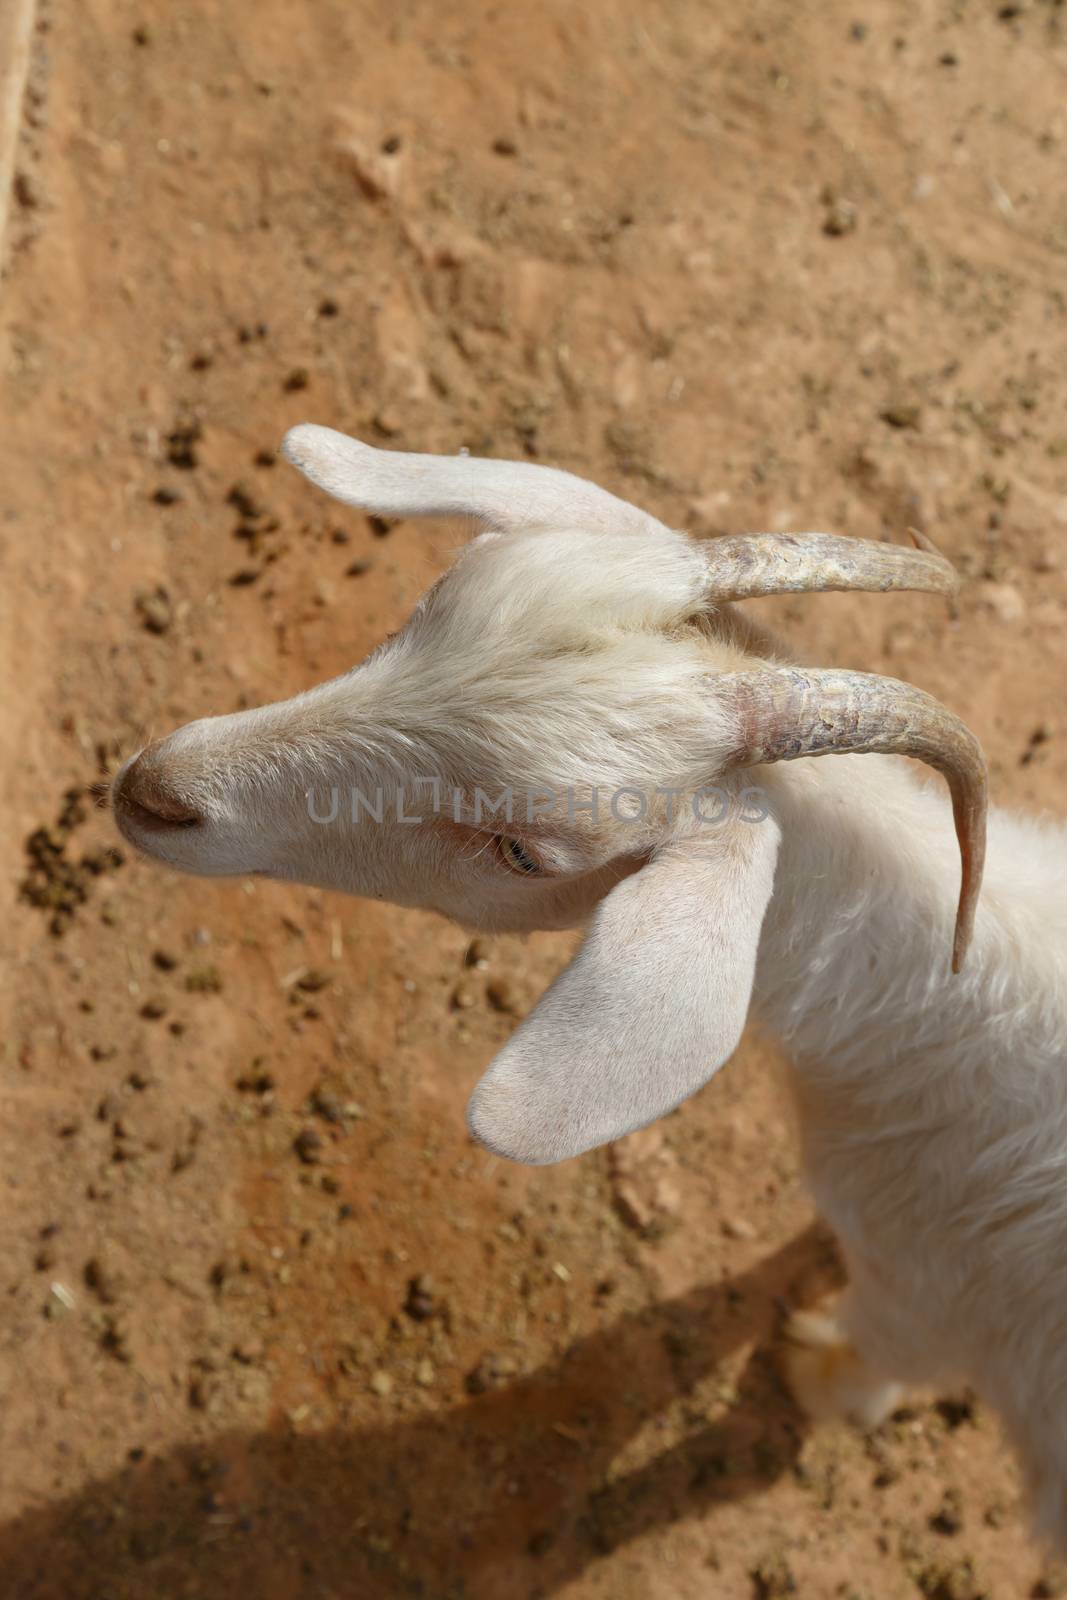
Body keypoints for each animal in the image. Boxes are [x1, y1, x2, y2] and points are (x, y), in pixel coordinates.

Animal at [115, 428, 1067, 1548]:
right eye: (430, 600)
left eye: (523, 851)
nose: (156, 791)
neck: (951, 1020)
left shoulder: (925, 1291)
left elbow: (882, 1349)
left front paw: (817, 1376)